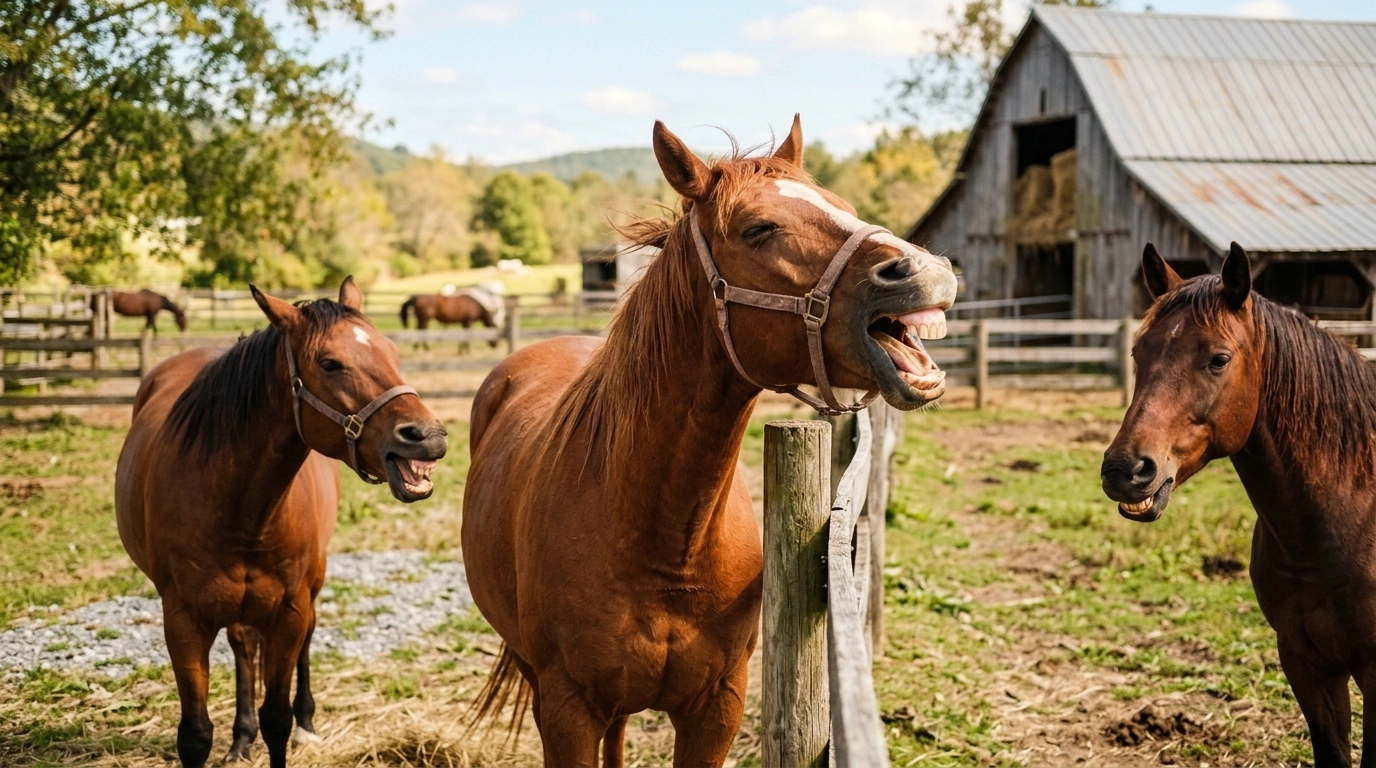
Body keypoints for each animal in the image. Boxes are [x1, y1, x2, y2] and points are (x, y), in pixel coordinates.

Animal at [114, 278, 447, 768]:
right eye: (329, 363)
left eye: (392, 351)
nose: (428, 437)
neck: (237, 505)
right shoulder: (182, 621)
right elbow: (195, 734)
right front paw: (237, 735)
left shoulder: (289, 612)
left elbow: (278, 717)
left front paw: (289, 725)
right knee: (242, 645)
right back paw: (240, 736)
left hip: (313, 580)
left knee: (305, 637)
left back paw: (305, 723)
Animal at [462, 115, 957, 766]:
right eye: (759, 228)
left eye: (845, 208)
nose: (926, 271)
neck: (665, 542)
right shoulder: (567, 710)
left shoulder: (717, 706)